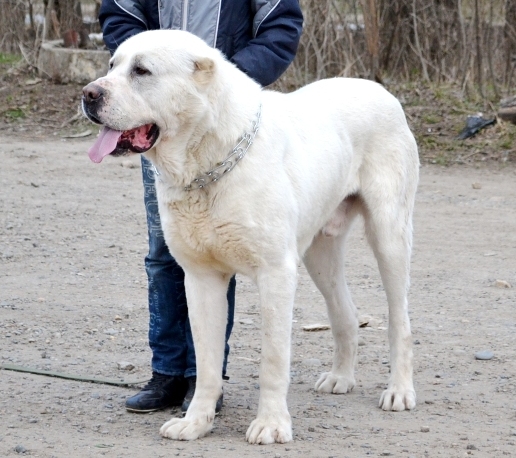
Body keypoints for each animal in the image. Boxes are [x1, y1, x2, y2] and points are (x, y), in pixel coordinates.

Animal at [81, 28, 420, 444]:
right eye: (112, 65)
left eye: (142, 70)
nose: (89, 93)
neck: (207, 162)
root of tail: (381, 90)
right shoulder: (201, 278)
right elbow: (206, 361)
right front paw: (196, 421)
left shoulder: (276, 274)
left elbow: (272, 359)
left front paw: (271, 424)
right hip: (318, 255)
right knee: (345, 313)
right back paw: (341, 377)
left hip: (389, 235)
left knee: (400, 320)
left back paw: (399, 390)